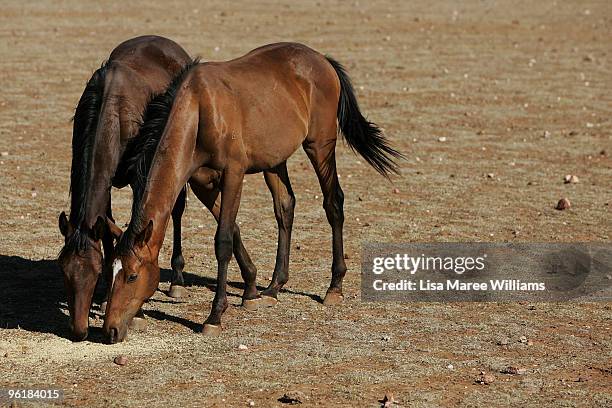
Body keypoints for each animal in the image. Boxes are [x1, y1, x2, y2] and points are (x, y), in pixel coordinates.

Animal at [103, 43, 404, 342]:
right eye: (111, 271)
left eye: (132, 276)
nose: (110, 329)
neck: (200, 109)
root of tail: (321, 59)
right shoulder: (202, 182)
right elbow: (234, 227)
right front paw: (252, 291)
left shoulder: (233, 174)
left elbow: (223, 240)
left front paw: (214, 316)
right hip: (275, 162)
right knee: (285, 207)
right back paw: (274, 287)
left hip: (320, 145)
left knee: (333, 204)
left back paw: (334, 287)